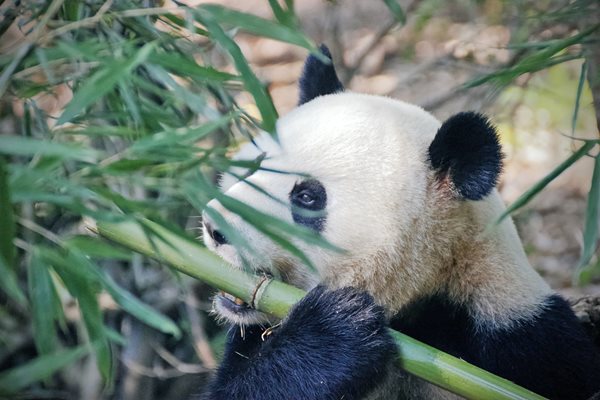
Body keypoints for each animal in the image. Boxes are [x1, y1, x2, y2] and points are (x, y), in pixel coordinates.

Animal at [200, 47, 600, 400]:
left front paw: (337, 327)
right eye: (253, 166)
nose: (215, 227)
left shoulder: (523, 341)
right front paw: (335, 330)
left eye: (307, 197)